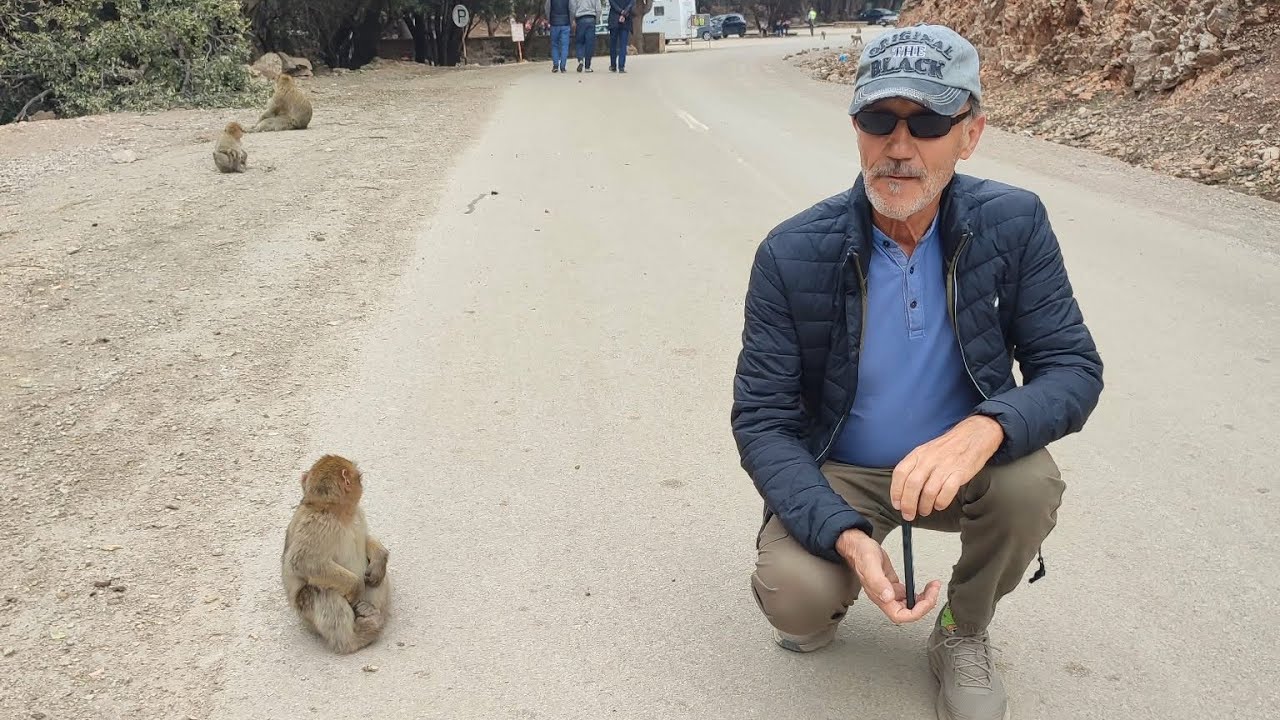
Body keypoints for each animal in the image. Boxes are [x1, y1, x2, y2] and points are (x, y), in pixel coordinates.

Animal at [281, 454, 390, 654]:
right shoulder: (318, 525)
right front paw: (355, 587)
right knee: (321, 591)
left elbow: (366, 541)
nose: (361, 484)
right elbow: (303, 562)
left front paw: (380, 557)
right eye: (359, 478)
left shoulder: (358, 514)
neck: (338, 513)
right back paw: (354, 639)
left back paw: (370, 608)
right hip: (307, 615)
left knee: (376, 575)